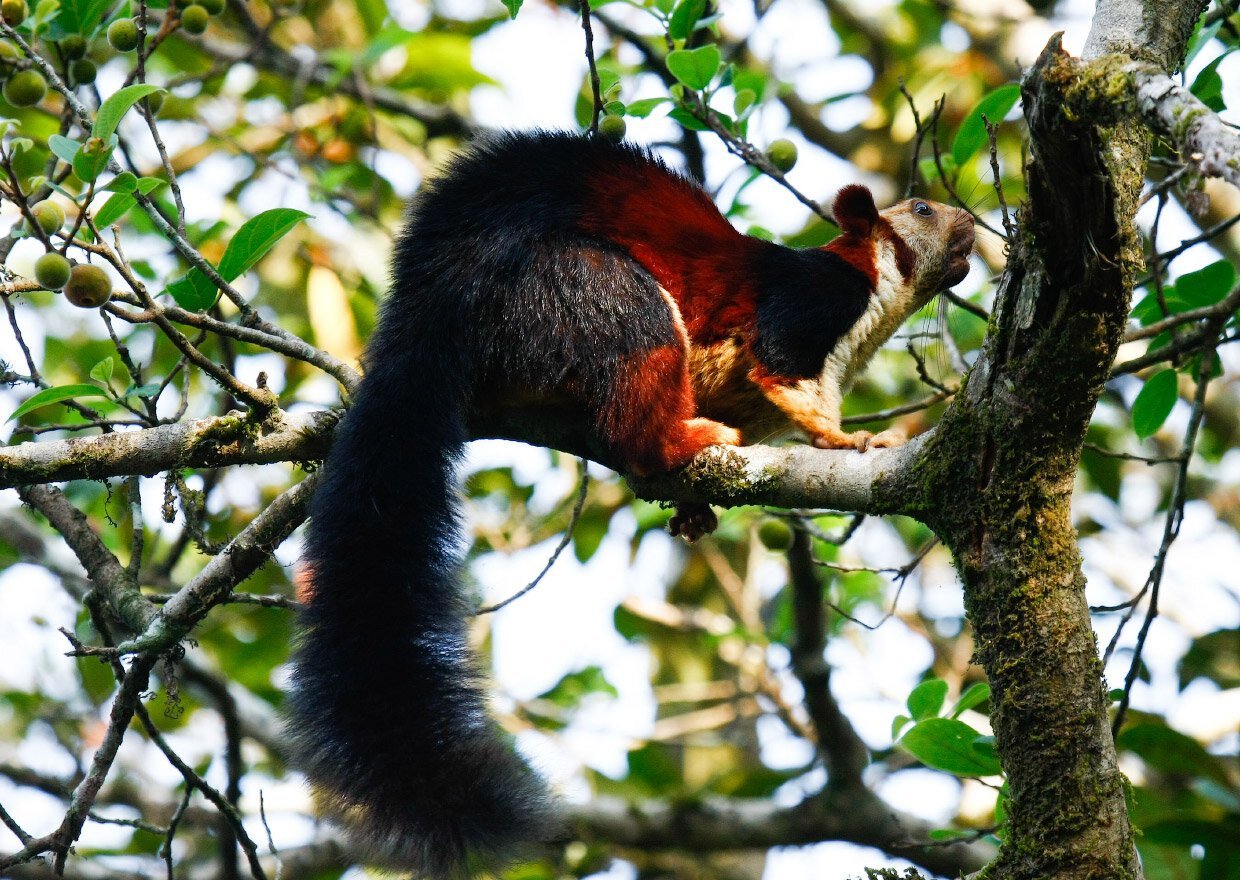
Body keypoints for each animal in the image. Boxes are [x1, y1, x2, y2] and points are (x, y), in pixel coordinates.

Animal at [285, 130, 972, 880]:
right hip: (591, 292)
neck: (871, 308)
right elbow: (786, 373)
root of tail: (441, 299)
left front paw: (696, 512)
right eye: (922, 207)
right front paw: (849, 439)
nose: (974, 224)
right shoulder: (808, 306)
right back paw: (685, 437)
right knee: (635, 408)